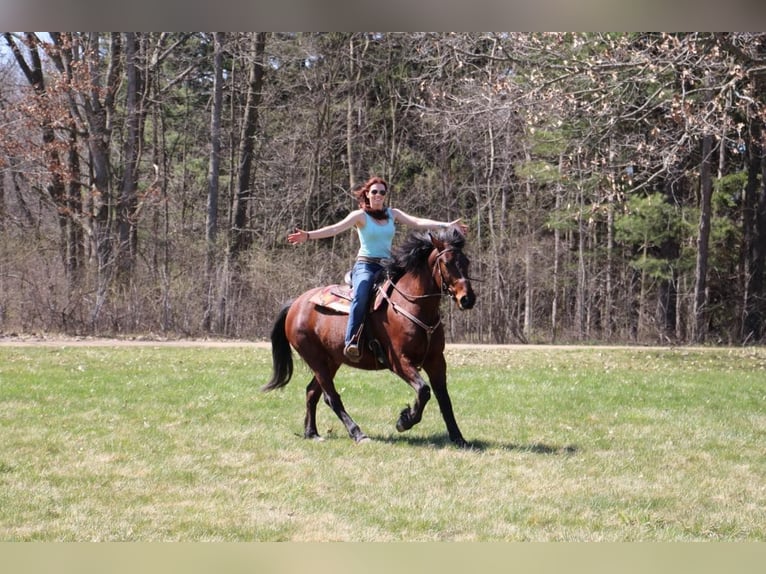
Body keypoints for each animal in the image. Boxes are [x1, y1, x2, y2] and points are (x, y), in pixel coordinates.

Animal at [268, 227, 476, 448]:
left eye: (466, 261)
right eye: (446, 263)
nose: (467, 299)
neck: (412, 305)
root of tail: (296, 304)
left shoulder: (436, 360)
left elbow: (443, 398)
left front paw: (458, 438)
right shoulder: (398, 361)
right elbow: (423, 390)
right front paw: (404, 421)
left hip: (331, 361)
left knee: (312, 392)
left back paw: (312, 432)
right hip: (315, 359)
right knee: (331, 397)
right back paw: (358, 433)